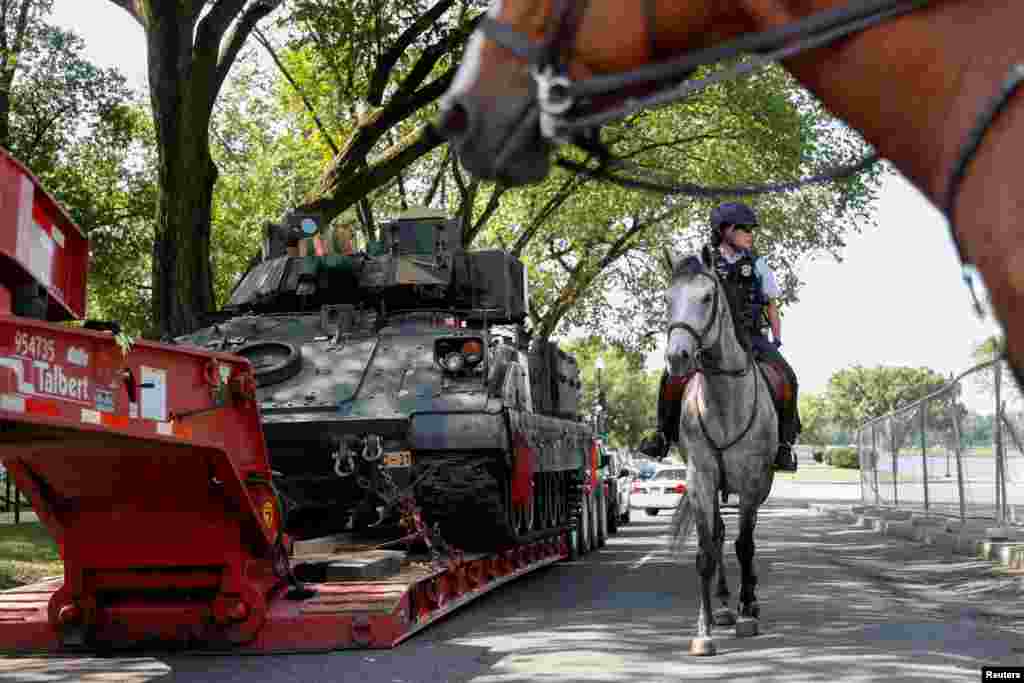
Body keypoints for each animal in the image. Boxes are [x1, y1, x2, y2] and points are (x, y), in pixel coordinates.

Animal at [663, 246, 774, 655]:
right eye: (667, 299)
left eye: (707, 297)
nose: (678, 356)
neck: (725, 400)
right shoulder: (701, 479)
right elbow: (706, 551)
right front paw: (704, 627)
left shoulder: (752, 479)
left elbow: (745, 545)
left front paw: (745, 614)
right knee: (722, 534)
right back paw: (725, 604)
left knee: (747, 537)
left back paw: (748, 602)